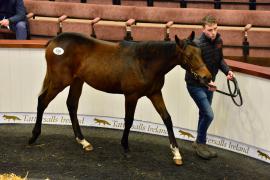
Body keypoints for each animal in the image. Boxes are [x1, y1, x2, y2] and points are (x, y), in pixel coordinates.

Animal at [28, 31, 212, 166]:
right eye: (188, 56)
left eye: (201, 53)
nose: (207, 78)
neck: (144, 62)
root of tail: (54, 42)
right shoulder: (131, 96)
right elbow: (128, 120)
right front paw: (125, 147)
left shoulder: (155, 94)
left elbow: (167, 119)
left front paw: (176, 153)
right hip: (60, 82)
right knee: (42, 101)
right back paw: (33, 137)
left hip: (77, 81)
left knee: (71, 105)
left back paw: (83, 141)